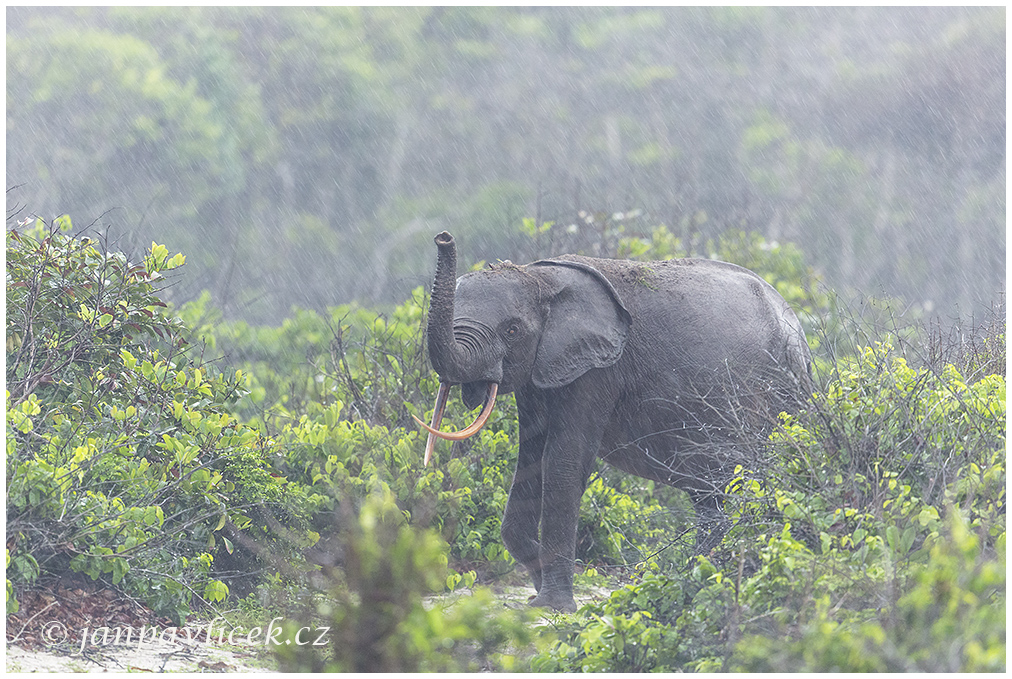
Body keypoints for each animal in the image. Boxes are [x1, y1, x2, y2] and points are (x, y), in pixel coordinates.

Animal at [414, 230, 809, 615]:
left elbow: (562, 461)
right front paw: (537, 594)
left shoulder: (598, 370)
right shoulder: (541, 372)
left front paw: (554, 605)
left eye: (512, 330)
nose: (443, 238)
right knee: (712, 496)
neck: (540, 277)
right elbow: (529, 459)